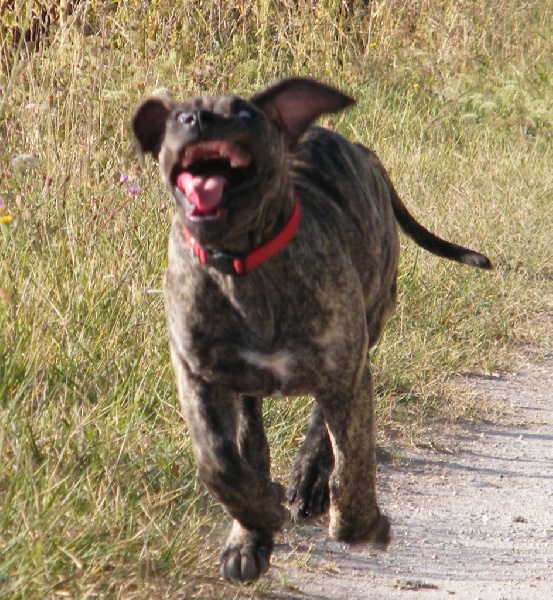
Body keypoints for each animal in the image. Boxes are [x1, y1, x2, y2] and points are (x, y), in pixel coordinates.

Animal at [133, 78, 492, 580]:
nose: (196, 119)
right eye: (175, 117)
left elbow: (353, 463)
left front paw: (357, 522)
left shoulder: (347, 372)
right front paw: (255, 521)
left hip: (366, 328)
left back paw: (309, 481)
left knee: (323, 426)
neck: (243, 264)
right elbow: (219, 463)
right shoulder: (198, 377)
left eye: (244, 114)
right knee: (252, 439)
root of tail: (360, 150)